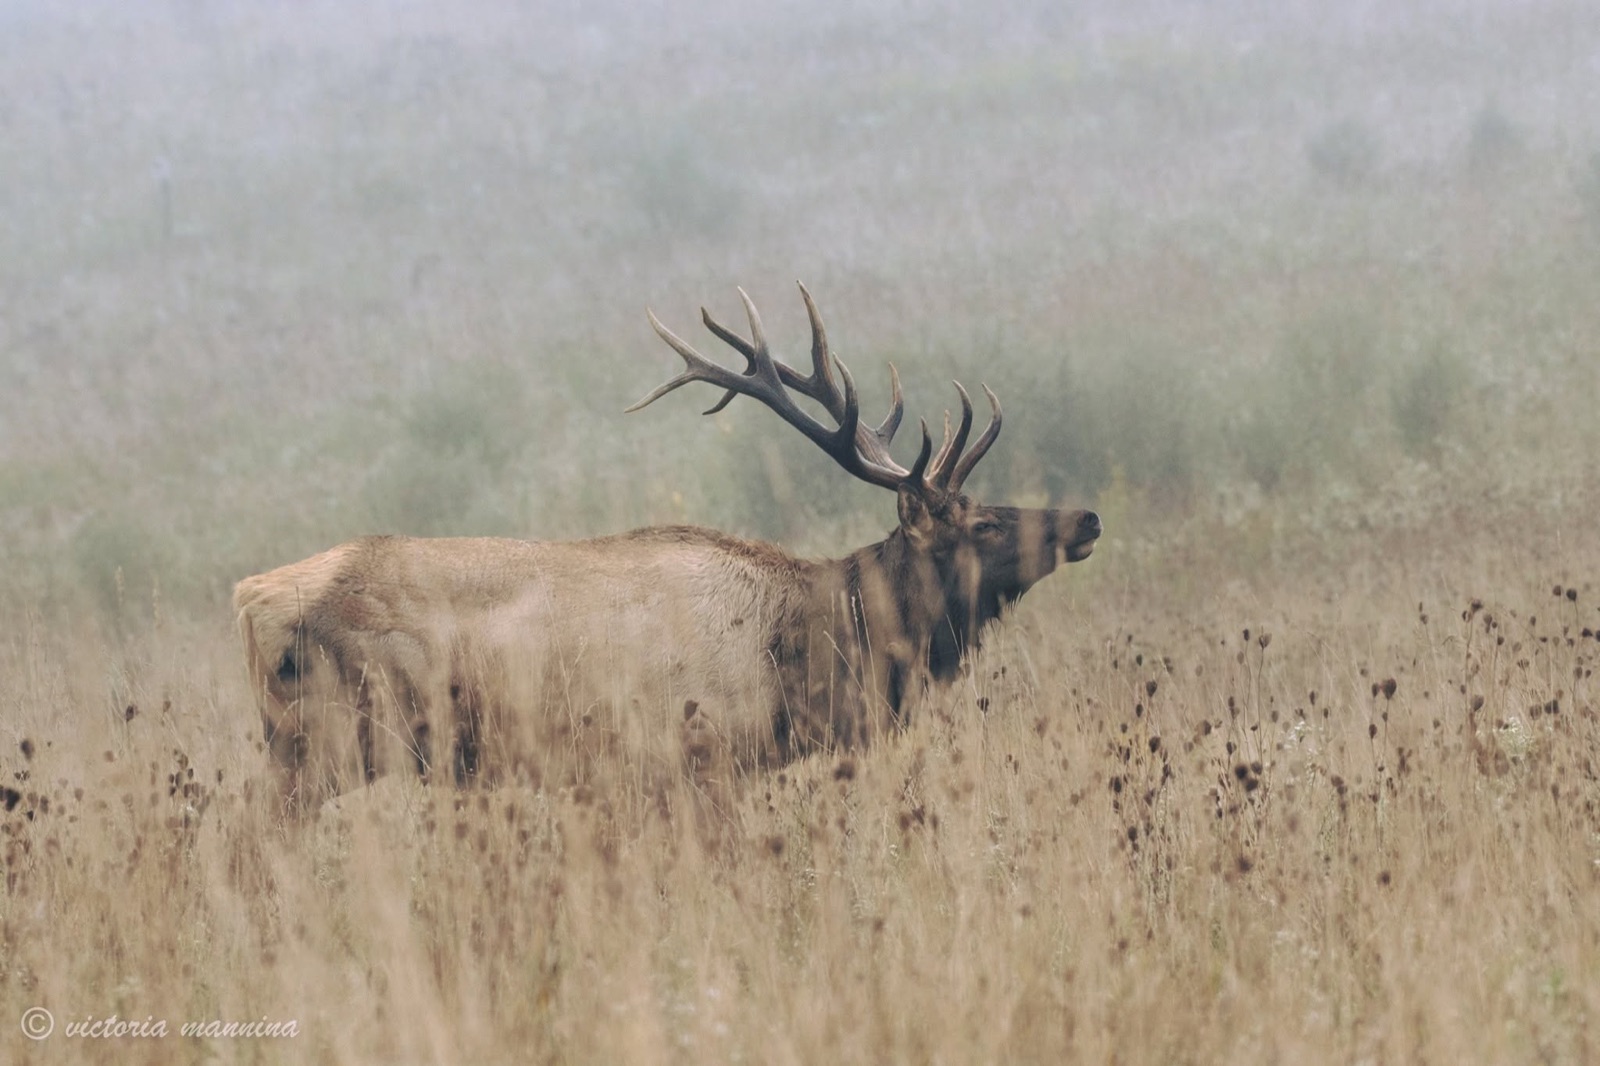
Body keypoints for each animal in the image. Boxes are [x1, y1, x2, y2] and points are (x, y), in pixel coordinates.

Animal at [233, 284, 1101, 810]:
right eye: (981, 524)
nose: (1087, 519)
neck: (803, 651)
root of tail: (249, 599)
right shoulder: (686, 760)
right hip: (327, 742)